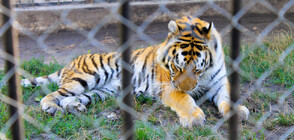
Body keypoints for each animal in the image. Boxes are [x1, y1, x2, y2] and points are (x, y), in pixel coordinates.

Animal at [21, 16, 249, 127]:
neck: (205, 75)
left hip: (102, 91)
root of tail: (71, 62)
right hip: (85, 78)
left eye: (197, 68)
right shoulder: (168, 86)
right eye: (177, 67)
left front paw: (238, 112)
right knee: (52, 95)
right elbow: (184, 99)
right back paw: (53, 109)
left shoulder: (220, 81)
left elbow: (228, 97)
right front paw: (194, 118)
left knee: (70, 99)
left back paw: (76, 108)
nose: (186, 86)